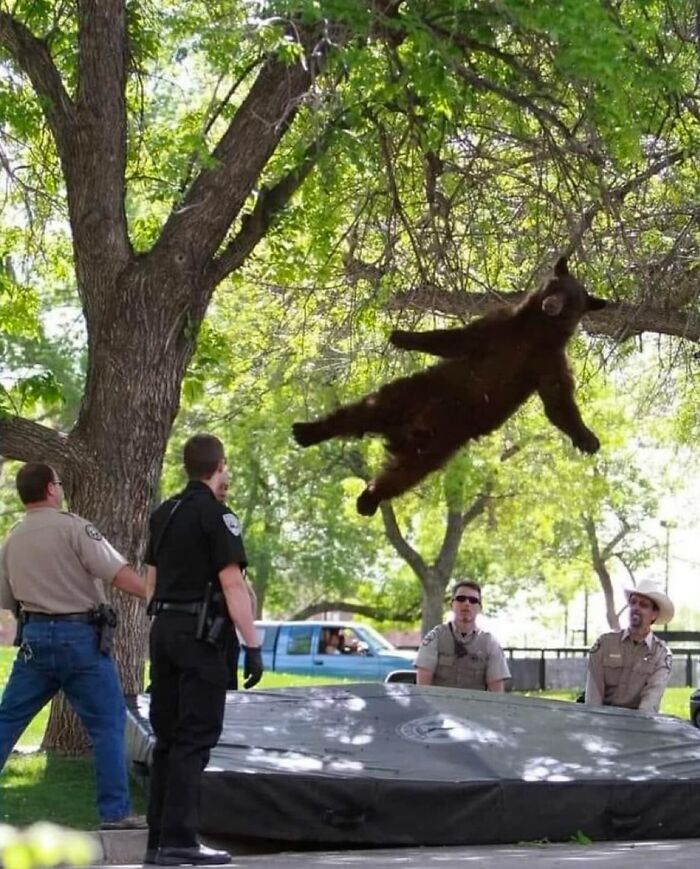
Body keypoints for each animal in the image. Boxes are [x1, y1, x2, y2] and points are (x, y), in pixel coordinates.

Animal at [292, 257, 606, 516]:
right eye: (555, 285)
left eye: (572, 300)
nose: (551, 304)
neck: (536, 331)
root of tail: (405, 432)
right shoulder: (501, 328)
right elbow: (457, 339)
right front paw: (402, 336)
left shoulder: (548, 360)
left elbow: (558, 401)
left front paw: (587, 439)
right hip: (412, 394)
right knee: (359, 412)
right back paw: (309, 431)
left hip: (438, 446)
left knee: (402, 475)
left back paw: (368, 499)